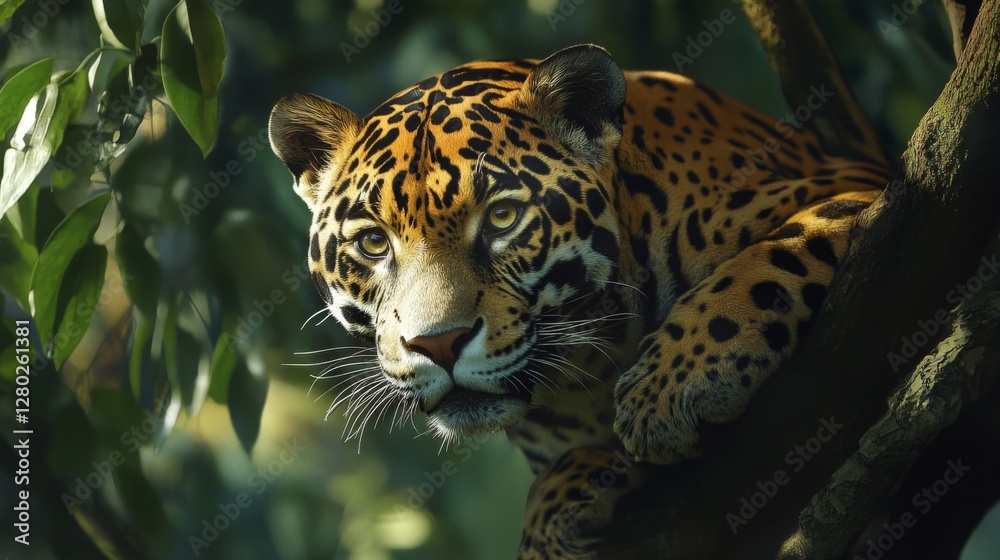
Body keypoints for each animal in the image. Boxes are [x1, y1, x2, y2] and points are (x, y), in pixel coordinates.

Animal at [268, 44, 890, 559]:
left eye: (502, 217)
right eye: (374, 243)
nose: (438, 344)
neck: (594, 356)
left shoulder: (860, 183)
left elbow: (773, 253)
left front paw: (672, 384)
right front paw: (550, 517)